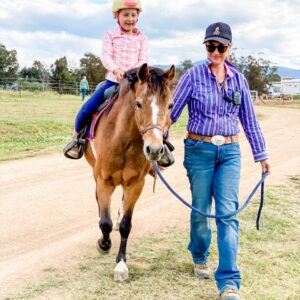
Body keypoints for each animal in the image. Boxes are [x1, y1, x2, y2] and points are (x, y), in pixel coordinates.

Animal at [83, 63, 175, 282]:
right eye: (138, 104)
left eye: (170, 106)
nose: (155, 150)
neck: (124, 140)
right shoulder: (104, 180)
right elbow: (105, 222)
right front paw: (104, 244)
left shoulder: (135, 183)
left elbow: (126, 224)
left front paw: (121, 265)